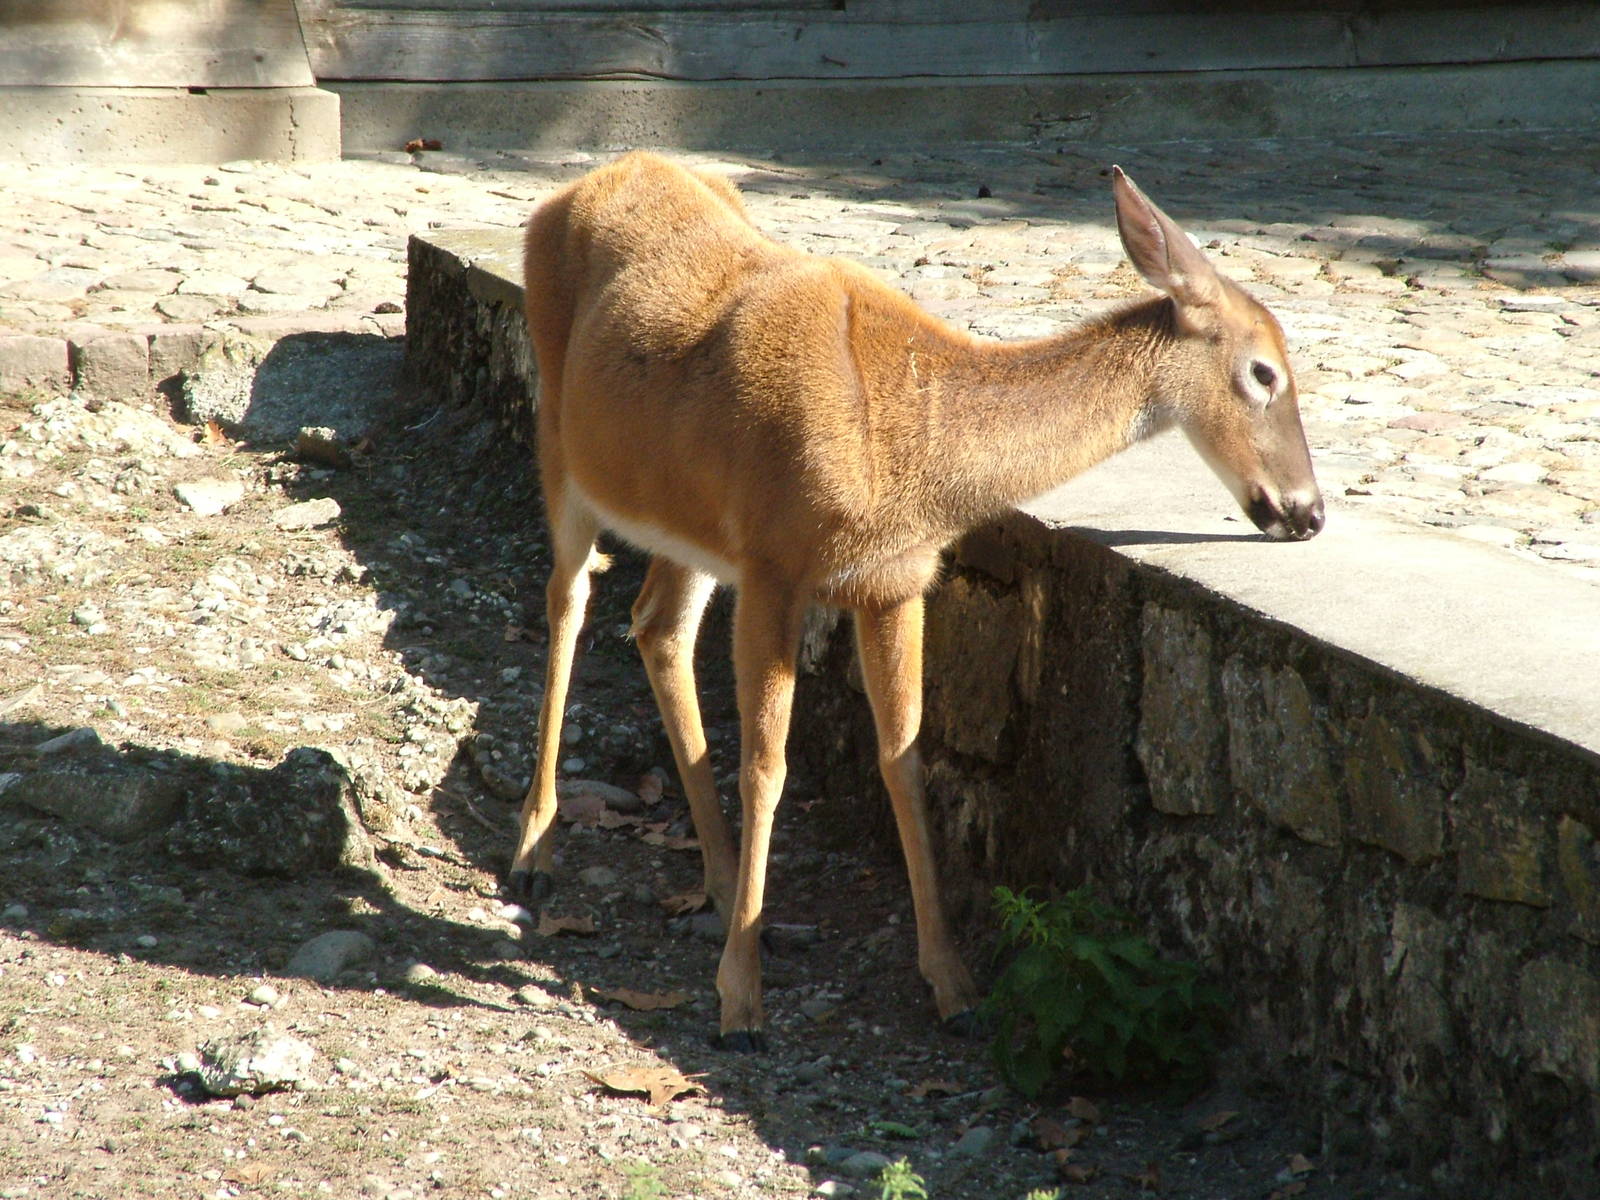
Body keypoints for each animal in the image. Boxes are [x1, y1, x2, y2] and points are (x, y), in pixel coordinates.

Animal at [509, 152, 1323, 1050]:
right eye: (1264, 372)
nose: (1308, 509)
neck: (900, 452)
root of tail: (575, 187)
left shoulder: (895, 581)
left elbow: (904, 758)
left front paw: (952, 983)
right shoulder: (774, 563)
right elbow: (768, 765)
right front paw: (741, 1003)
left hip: (686, 526)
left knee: (656, 627)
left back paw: (719, 887)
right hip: (560, 440)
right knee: (567, 600)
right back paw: (534, 853)